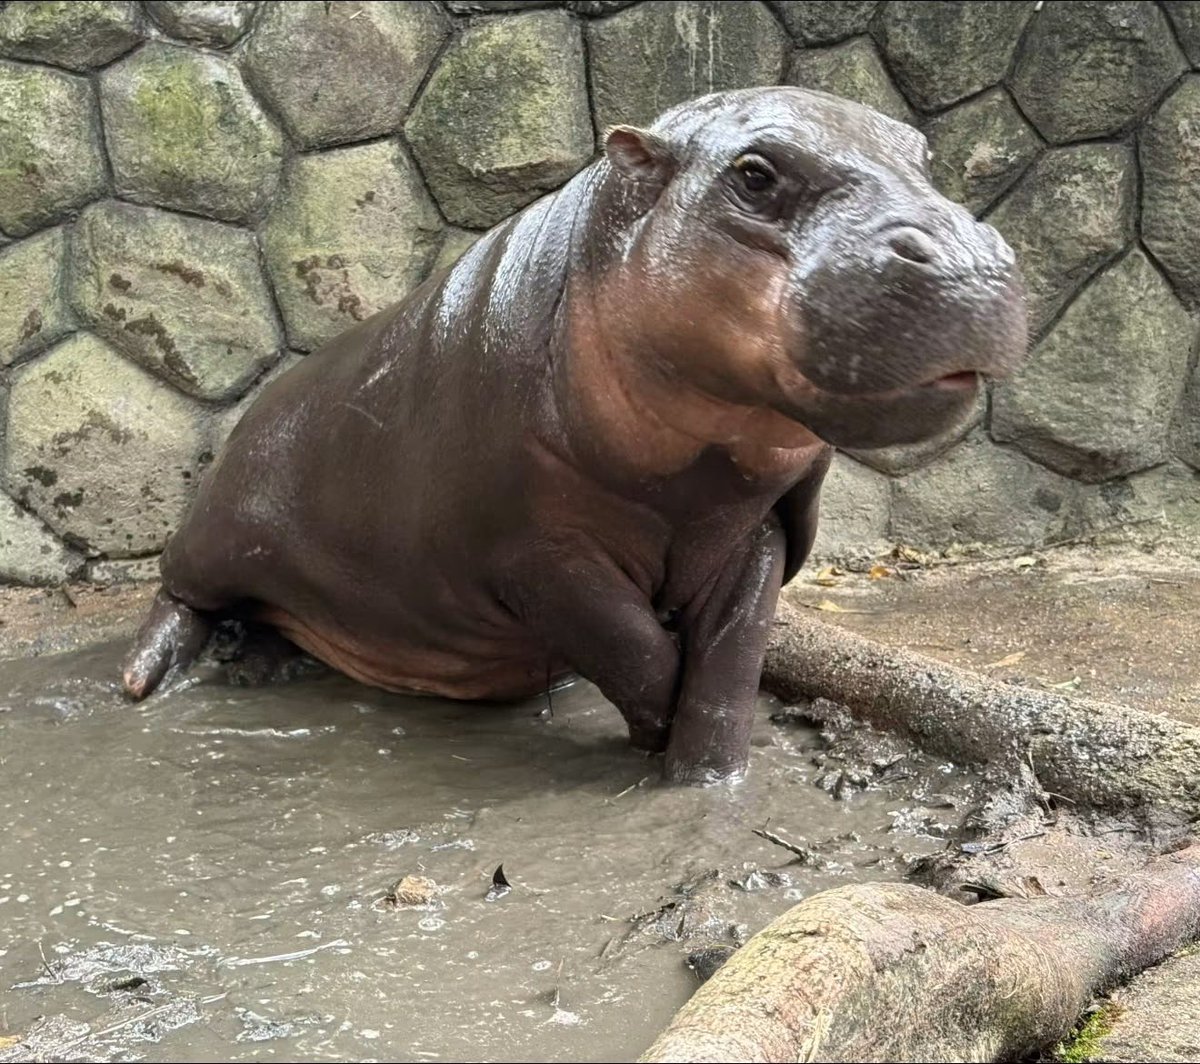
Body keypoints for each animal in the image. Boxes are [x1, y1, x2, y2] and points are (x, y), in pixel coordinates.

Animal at [123, 87, 1027, 784]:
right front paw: (658, 744)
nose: (969, 258)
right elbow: (636, 651)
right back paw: (143, 682)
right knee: (179, 591)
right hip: (222, 527)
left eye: (923, 154)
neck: (700, 473)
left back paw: (262, 662)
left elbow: (728, 665)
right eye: (755, 173)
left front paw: (707, 780)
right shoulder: (531, 551)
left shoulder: (761, 522)